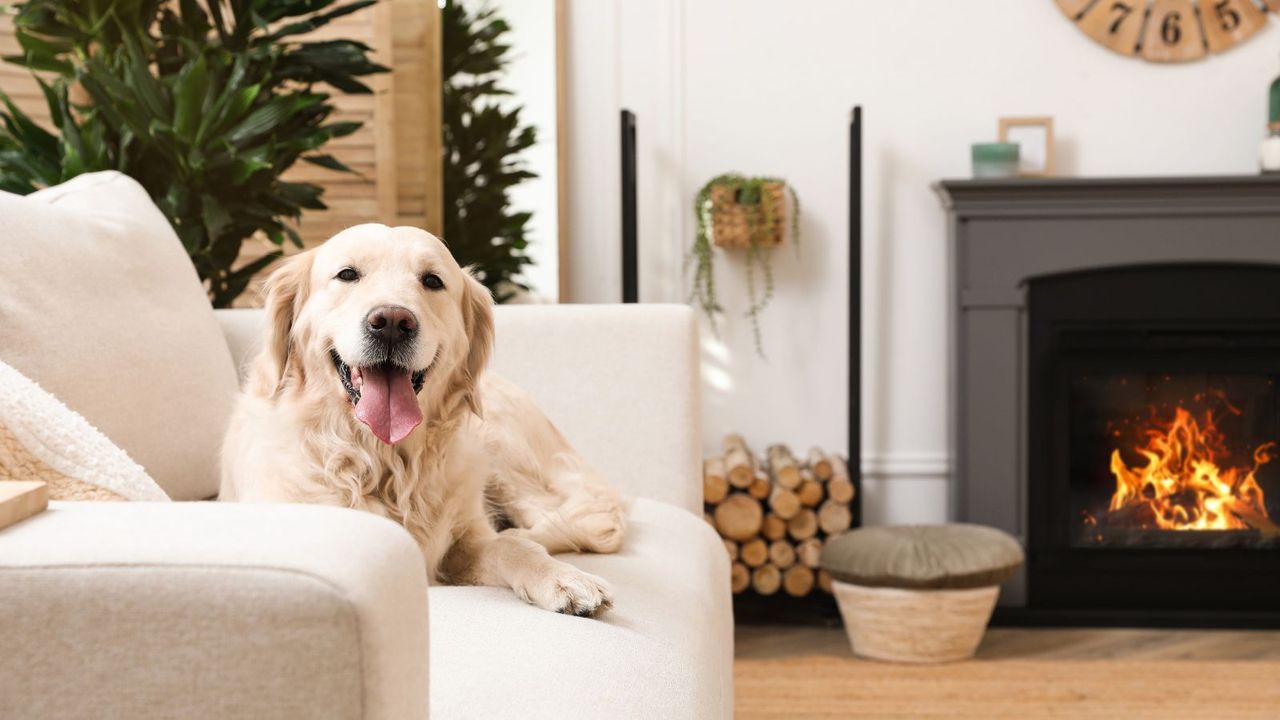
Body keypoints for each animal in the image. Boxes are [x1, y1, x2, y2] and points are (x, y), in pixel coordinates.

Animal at [221, 221, 629, 614]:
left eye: (432, 280)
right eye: (347, 274)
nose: (391, 321)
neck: (383, 461)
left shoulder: (465, 542)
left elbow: (510, 547)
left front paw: (564, 578)